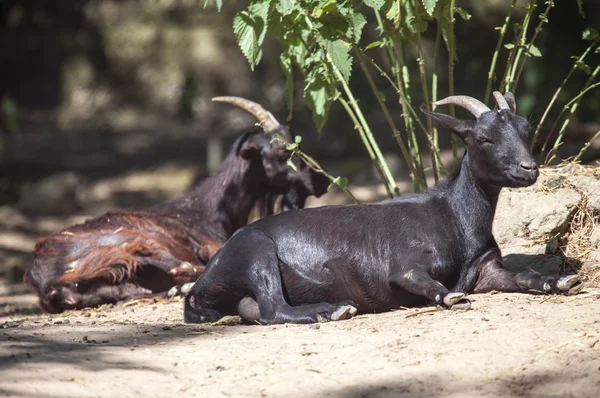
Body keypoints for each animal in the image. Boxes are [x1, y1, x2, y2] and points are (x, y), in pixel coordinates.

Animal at [24, 97, 328, 314]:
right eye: (280, 151)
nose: (320, 179)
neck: (207, 210)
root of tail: (43, 277)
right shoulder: (208, 244)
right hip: (130, 243)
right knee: (179, 267)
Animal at [185, 91, 584, 324]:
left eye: (526, 130)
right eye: (483, 138)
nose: (529, 168)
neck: (455, 218)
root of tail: (201, 285)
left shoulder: (486, 271)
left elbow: (523, 276)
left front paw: (561, 280)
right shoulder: (404, 265)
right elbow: (423, 280)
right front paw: (449, 296)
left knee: (256, 310)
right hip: (258, 253)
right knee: (272, 309)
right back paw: (333, 309)